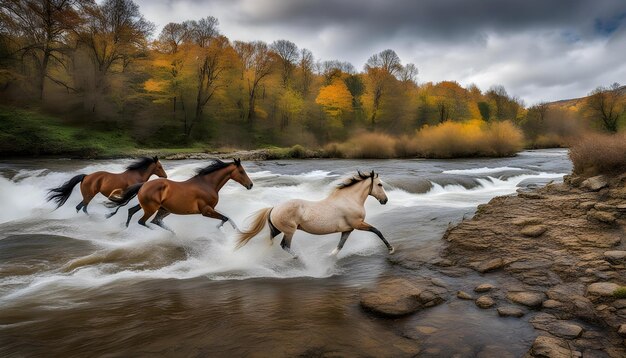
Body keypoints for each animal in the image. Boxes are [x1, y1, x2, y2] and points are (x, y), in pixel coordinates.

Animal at [106, 158, 251, 231]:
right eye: (242, 171)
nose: (250, 185)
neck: (207, 184)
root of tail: (143, 185)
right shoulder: (206, 211)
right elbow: (225, 219)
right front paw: (219, 229)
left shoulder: (211, 209)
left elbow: (228, 218)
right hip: (152, 209)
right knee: (143, 221)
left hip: (161, 209)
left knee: (136, 213)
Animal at [236, 171, 392, 258]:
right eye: (379, 184)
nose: (385, 200)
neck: (349, 200)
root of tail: (274, 208)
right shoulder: (358, 224)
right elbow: (377, 231)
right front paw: (391, 249)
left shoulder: (348, 229)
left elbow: (340, 245)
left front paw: (329, 256)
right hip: (289, 231)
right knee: (284, 245)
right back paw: (298, 258)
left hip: (277, 230)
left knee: (270, 241)